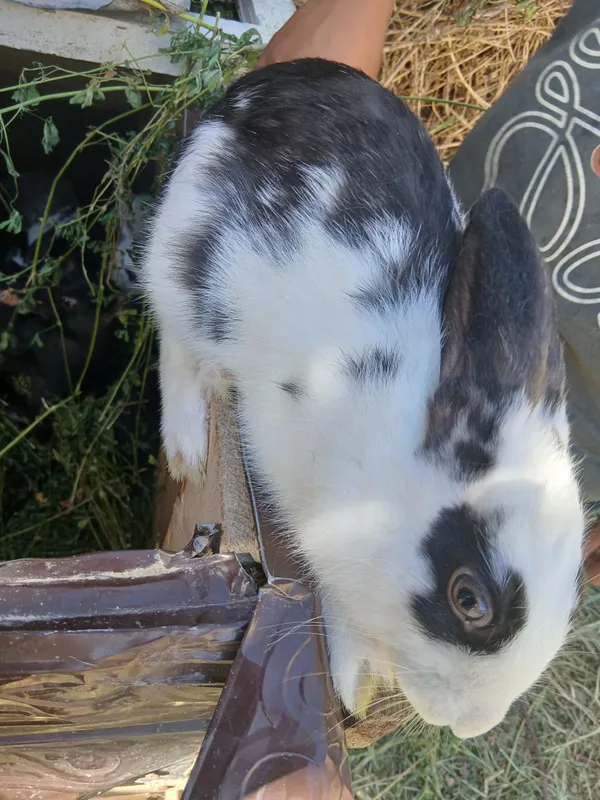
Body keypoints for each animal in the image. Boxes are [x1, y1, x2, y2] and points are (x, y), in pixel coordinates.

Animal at [141, 59, 585, 739]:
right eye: (468, 599)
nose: (473, 724)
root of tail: (249, 92)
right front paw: (353, 680)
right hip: (179, 260)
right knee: (174, 341)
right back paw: (189, 444)